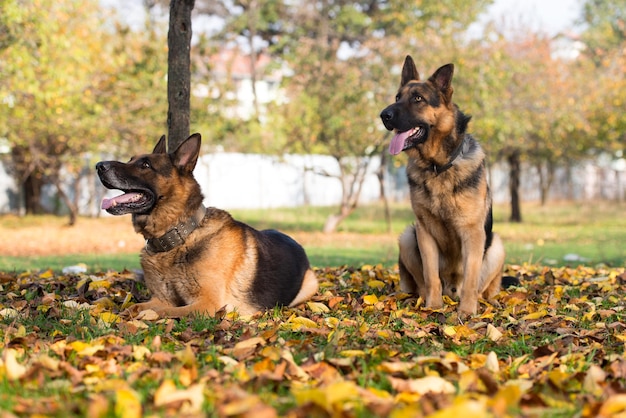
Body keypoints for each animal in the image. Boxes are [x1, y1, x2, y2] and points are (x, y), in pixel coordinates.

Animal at [95, 134, 320, 316]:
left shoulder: (206, 304)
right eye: (131, 160)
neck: (179, 238)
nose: (99, 165)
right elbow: (137, 306)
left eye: (145, 165)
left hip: (309, 285)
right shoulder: (161, 298)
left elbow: (163, 311)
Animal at [378, 56, 504, 316]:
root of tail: (451, 291)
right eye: (397, 97)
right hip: (408, 237)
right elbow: (430, 275)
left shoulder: (472, 233)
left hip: (496, 244)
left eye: (418, 98)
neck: (438, 167)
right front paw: (433, 307)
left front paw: (467, 311)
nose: (383, 115)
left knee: (482, 289)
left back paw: (486, 302)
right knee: (421, 284)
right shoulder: (424, 231)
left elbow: (471, 278)